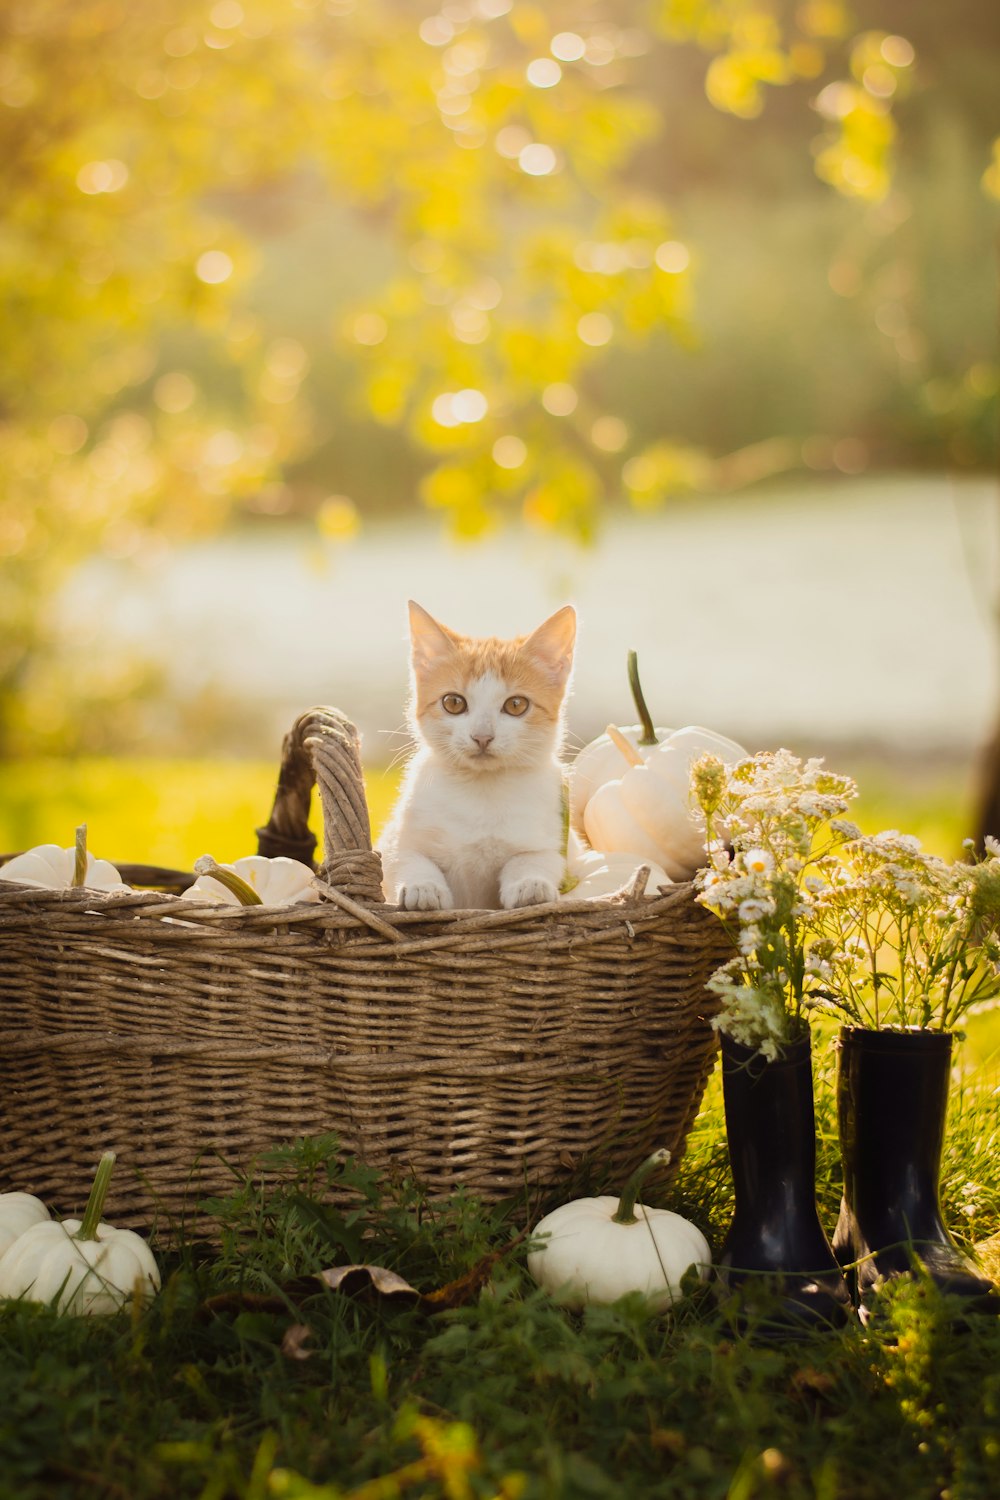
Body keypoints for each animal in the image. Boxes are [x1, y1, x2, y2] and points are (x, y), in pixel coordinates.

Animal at [377, 600, 578, 906]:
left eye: (516, 705)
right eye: (453, 703)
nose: (482, 736)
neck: (481, 791)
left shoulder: (558, 841)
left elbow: (534, 858)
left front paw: (529, 883)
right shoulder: (393, 840)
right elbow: (407, 858)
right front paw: (423, 886)